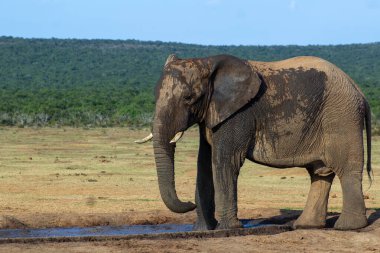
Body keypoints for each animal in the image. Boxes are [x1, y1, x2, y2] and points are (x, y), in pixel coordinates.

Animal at [136, 53, 372, 231]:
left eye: (188, 98)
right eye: (154, 96)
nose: (189, 204)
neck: (208, 61)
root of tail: (359, 90)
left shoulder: (240, 113)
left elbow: (225, 161)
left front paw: (227, 229)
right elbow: (204, 163)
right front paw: (202, 230)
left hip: (342, 117)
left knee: (346, 169)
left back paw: (348, 227)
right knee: (320, 173)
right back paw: (306, 226)